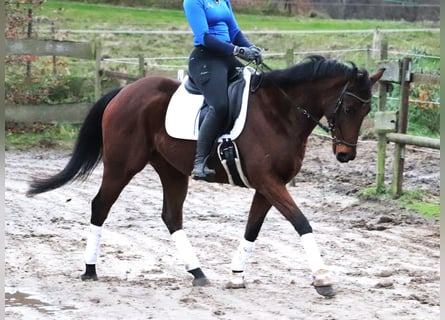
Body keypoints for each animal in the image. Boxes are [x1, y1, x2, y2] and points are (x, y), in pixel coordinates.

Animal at [27, 55, 384, 298]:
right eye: (349, 109)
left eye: (367, 111)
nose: (346, 155)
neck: (280, 113)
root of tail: (125, 91)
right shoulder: (269, 182)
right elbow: (302, 222)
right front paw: (323, 278)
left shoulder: (267, 186)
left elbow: (252, 229)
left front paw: (237, 276)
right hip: (121, 165)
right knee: (100, 206)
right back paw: (90, 270)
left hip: (171, 170)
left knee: (171, 216)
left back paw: (197, 272)